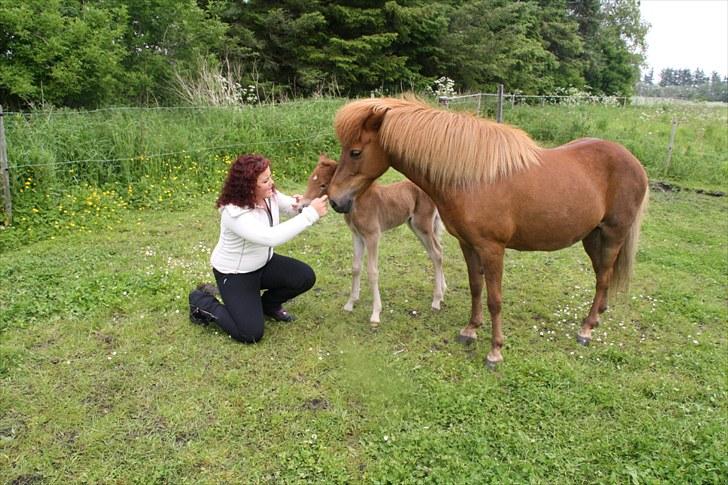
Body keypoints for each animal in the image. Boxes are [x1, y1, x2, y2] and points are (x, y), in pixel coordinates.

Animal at [300, 153, 446, 324]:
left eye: (323, 185)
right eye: (310, 179)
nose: (302, 205)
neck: (357, 203)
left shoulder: (372, 236)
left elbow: (372, 272)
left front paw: (376, 313)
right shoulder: (357, 235)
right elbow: (356, 267)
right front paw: (350, 304)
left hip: (422, 226)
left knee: (436, 253)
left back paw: (436, 300)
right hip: (417, 227)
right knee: (437, 251)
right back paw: (443, 290)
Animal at [324, 96, 648, 364]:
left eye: (355, 152)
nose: (336, 201)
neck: (472, 179)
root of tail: (634, 162)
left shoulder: (493, 249)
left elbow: (495, 299)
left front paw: (495, 351)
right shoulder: (468, 244)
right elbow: (475, 288)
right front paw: (470, 330)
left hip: (613, 234)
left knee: (603, 278)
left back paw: (586, 329)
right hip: (592, 237)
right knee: (602, 274)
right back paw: (598, 317)